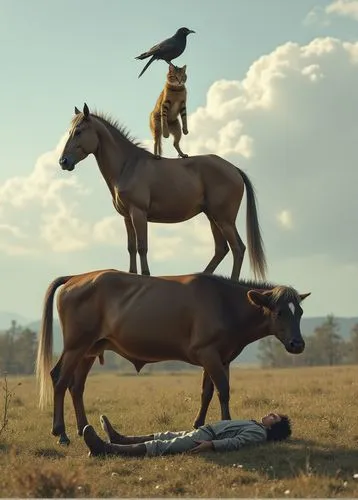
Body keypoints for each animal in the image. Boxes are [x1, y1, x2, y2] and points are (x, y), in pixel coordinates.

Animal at [37, 270, 310, 446]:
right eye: (279, 312)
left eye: (300, 312)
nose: (298, 344)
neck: (225, 304)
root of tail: (76, 277)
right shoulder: (208, 351)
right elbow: (223, 389)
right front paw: (226, 422)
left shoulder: (219, 356)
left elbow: (207, 391)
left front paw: (199, 423)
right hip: (76, 344)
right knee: (59, 379)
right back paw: (61, 433)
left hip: (90, 349)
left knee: (77, 386)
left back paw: (82, 428)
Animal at [58, 102, 266, 282]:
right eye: (70, 132)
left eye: (78, 132)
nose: (63, 162)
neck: (128, 165)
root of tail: (234, 169)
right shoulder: (127, 217)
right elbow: (131, 247)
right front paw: (132, 273)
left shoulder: (138, 213)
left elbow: (142, 246)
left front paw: (146, 275)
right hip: (213, 217)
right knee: (221, 249)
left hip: (224, 219)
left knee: (238, 248)